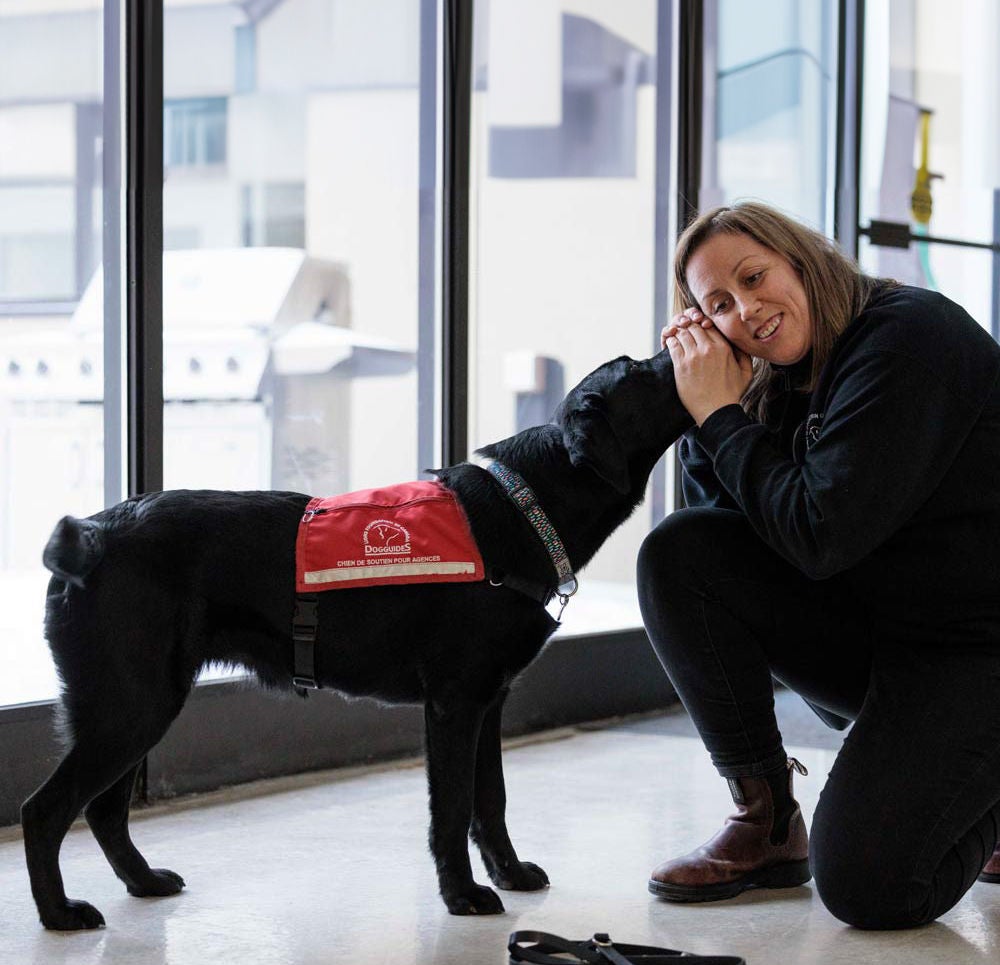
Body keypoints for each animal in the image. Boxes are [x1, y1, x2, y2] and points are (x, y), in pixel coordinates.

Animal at [19, 346, 692, 928]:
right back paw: (59, 914)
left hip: (140, 706)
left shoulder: (489, 703)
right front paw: (462, 896)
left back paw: (143, 883)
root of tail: (91, 537)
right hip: (131, 706)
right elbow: (452, 809)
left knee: (102, 809)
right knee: (45, 810)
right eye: (640, 370)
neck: (525, 507)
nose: (682, 333)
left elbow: (490, 800)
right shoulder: (454, 706)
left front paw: (508, 874)